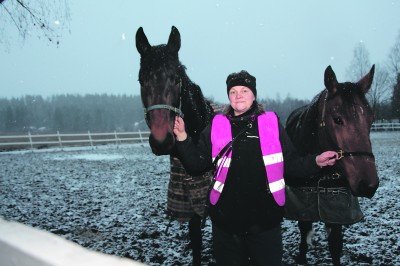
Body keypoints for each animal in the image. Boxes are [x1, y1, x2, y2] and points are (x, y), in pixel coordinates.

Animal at [284, 65, 378, 266]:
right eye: (337, 119)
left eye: (371, 119)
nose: (368, 185)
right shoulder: (302, 203)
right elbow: (304, 231)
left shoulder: (337, 208)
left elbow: (335, 244)